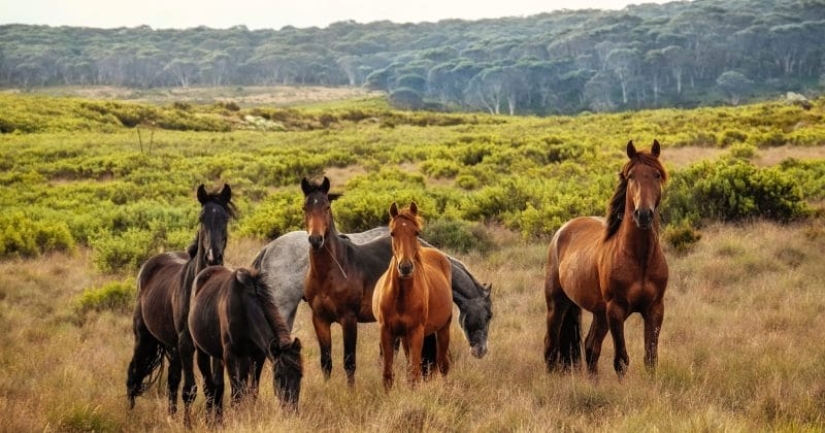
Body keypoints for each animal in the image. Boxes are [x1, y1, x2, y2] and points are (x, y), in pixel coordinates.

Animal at [126, 182, 235, 426]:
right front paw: (189, 424)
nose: (213, 257)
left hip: (172, 346)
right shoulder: (186, 343)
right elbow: (191, 388)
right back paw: (129, 414)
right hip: (144, 338)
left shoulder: (212, 346)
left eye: (225, 218)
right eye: (201, 217)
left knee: (172, 380)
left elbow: (215, 386)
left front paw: (216, 421)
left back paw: (171, 416)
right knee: (133, 373)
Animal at [187, 264, 302, 420]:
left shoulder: (258, 356)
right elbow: (236, 393)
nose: (291, 410)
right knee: (209, 386)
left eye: (300, 375)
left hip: (223, 357)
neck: (244, 308)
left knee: (219, 386)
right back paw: (210, 418)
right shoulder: (230, 355)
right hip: (202, 351)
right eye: (277, 376)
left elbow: (252, 390)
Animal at [372, 201, 450, 390]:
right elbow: (388, 374)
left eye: (416, 232)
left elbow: (415, 373)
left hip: (443, 329)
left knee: (443, 364)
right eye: (392, 233)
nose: (405, 267)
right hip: (404, 337)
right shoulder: (387, 331)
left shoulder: (416, 332)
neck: (401, 297)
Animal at [540, 140, 668, 376]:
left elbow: (651, 359)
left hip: (599, 313)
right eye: (631, 176)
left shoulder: (654, 309)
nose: (643, 215)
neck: (640, 258)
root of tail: (563, 230)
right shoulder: (616, 311)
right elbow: (621, 361)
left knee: (591, 347)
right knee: (550, 347)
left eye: (656, 175)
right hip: (557, 304)